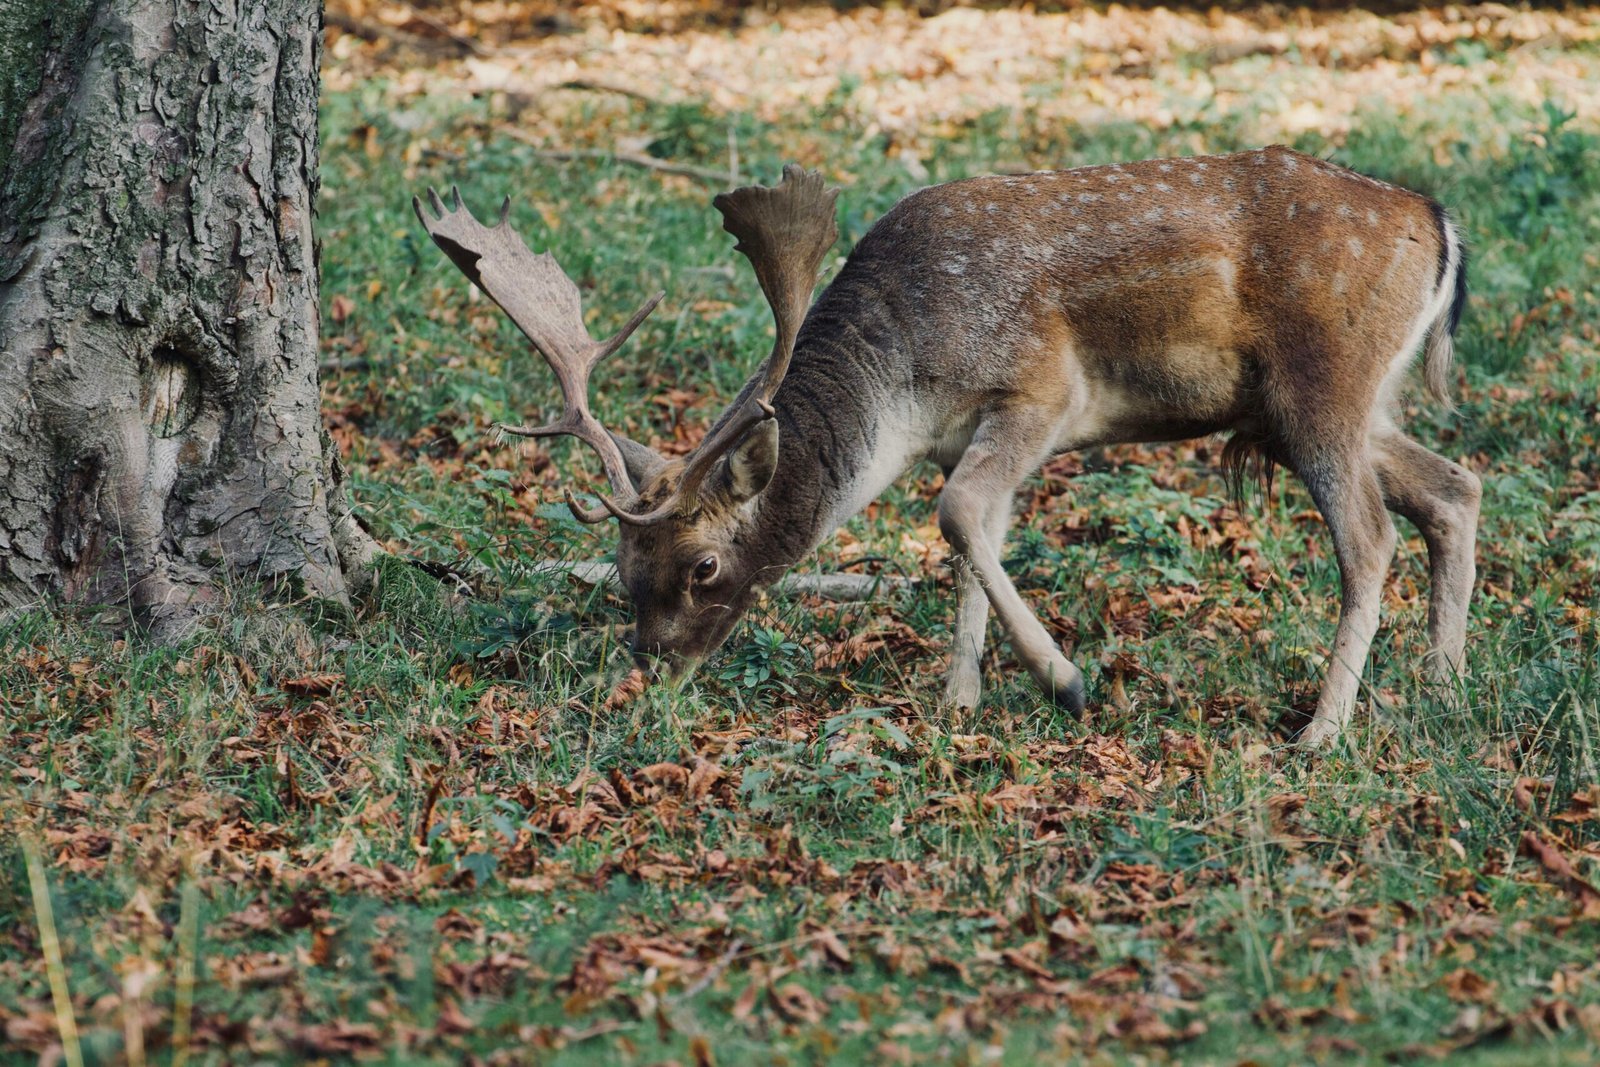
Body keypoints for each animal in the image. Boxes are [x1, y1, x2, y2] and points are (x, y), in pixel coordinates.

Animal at [415, 146, 1477, 749]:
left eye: (702, 564)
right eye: (622, 564)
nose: (651, 668)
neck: (908, 388)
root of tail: (1441, 222)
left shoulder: (1042, 390)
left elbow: (958, 516)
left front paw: (1065, 680)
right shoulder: (963, 435)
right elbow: (972, 538)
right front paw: (961, 699)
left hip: (1321, 384)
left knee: (1372, 536)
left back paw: (1321, 731)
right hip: (1335, 406)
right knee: (1455, 486)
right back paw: (1442, 683)